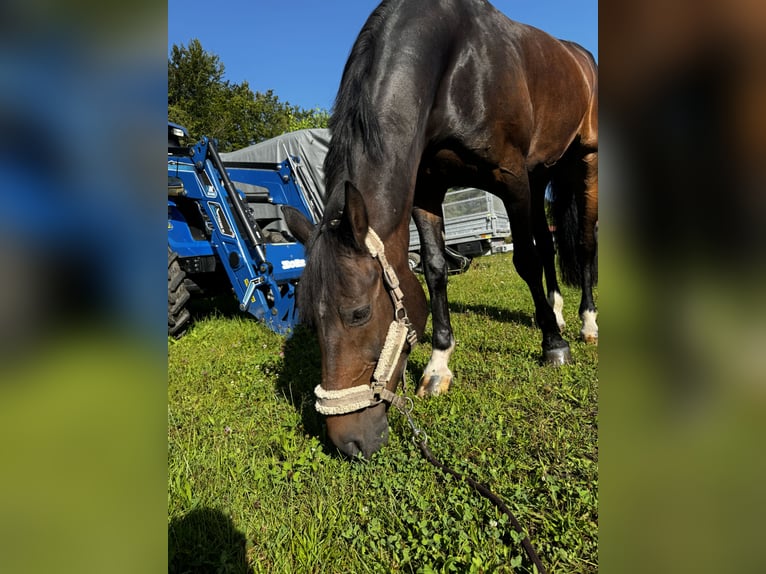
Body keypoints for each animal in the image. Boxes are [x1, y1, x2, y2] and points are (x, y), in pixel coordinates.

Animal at [284, 0, 600, 460]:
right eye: (308, 320)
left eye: (359, 313)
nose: (348, 443)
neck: (456, 67)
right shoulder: (428, 188)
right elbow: (434, 269)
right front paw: (437, 366)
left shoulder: (510, 176)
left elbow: (524, 259)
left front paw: (554, 347)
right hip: (540, 171)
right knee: (548, 241)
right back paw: (556, 312)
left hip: (584, 161)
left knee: (584, 241)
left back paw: (585, 324)